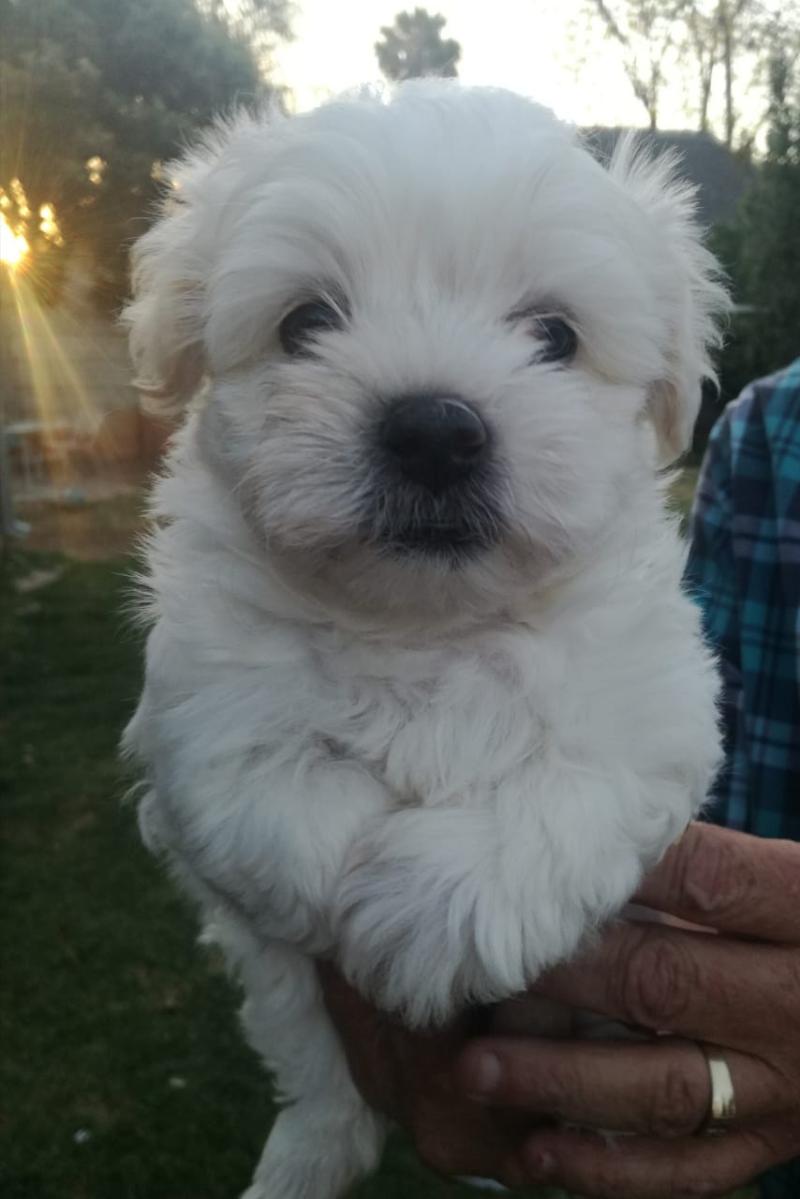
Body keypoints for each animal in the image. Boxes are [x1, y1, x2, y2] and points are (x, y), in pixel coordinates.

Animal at [123, 84, 724, 1199]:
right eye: (306, 321)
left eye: (554, 334)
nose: (436, 429)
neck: (422, 627)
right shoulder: (202, 690)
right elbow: (264, 782)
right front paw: (342, 881)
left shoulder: (650, 701)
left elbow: (567, 781)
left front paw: (424, 910)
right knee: (317, 1074)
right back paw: (305, 1154)